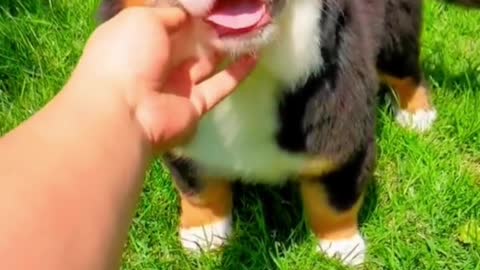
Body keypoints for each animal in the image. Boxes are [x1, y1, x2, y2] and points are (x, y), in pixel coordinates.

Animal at [99, 0, 478, 266]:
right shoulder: (181, 132)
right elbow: (199, 189)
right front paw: (204, 234)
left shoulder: (344, 138)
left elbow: (333, 201)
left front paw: (341, 247)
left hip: (397, 29)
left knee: (406, 71)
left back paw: (417, 114)